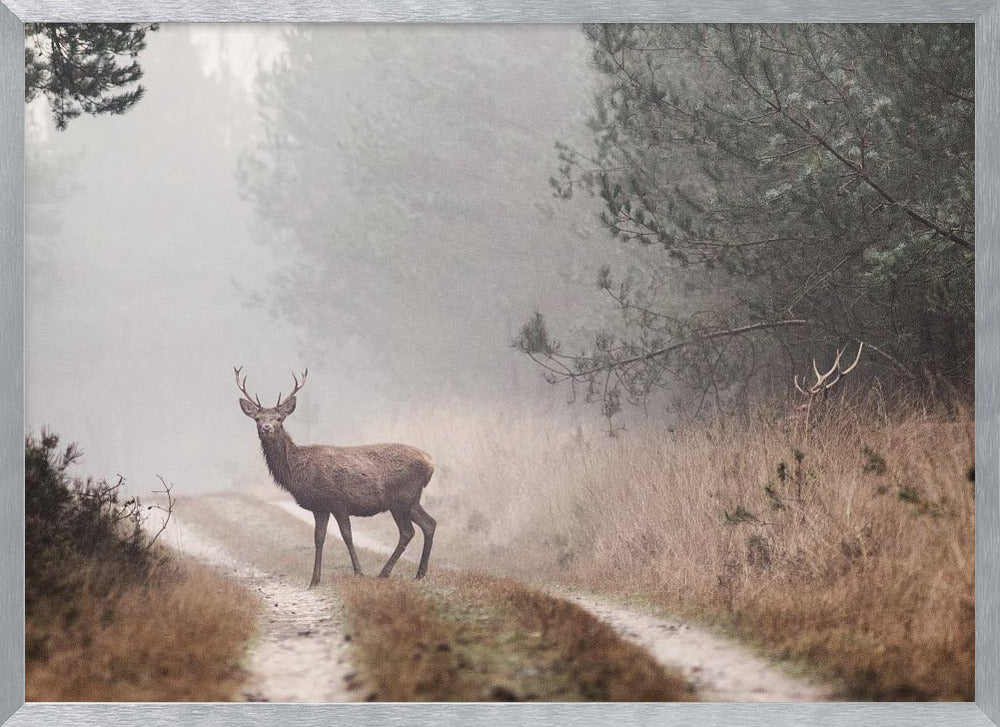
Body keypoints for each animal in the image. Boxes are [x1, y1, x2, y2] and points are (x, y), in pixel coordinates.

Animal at [234, 366, 436, 586]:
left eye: (279, 418)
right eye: (257, 418)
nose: (266, 428)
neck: (298, 472)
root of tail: (430, 463)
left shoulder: (338, 501)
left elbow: (346, 536)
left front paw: (359, 572)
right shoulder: (320, 507)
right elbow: (318, 539)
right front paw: (314, 580)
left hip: (401, 498)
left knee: (408, 531)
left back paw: (386, 572)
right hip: (411, 499)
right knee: (429, 524)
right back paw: (419, 573)